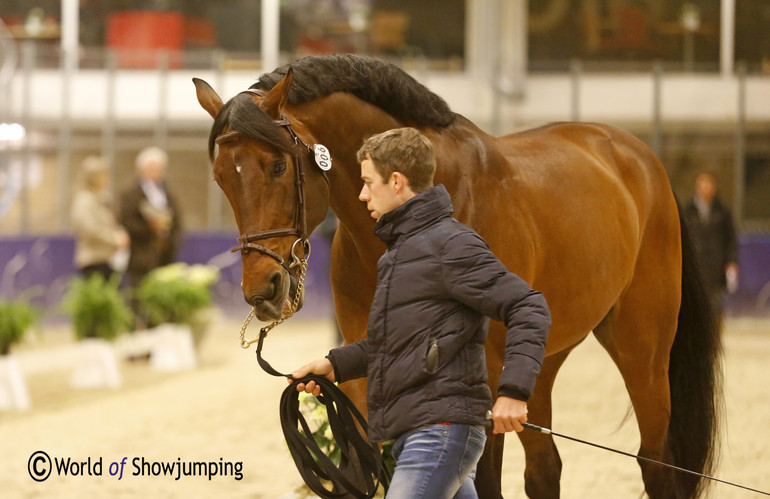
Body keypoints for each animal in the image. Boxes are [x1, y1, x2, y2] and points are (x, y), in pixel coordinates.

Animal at [192, 54, 720, 499]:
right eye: (219, 177)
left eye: (278, 165)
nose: (262, 289)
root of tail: (642, 160)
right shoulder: (365, 374)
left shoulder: (483, 387)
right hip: (542, 360)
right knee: (545, 469)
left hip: (642, 352)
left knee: (655, 463)